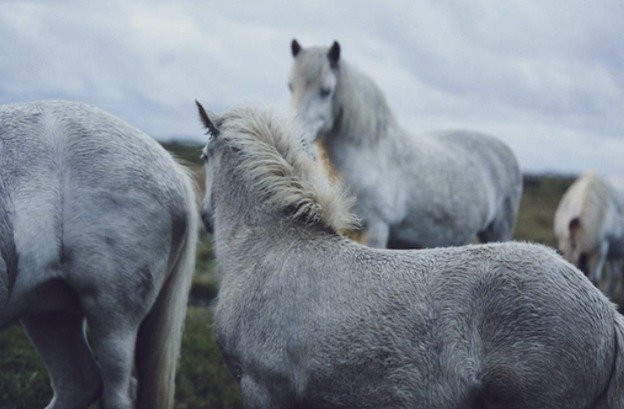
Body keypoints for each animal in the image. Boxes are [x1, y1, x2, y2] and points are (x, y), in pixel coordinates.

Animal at [288, 39, 520, 249]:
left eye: (326, 90)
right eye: (290, 86)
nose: (296, 139)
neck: (366, 160)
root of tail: (505, 150)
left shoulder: (376, 229)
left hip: (499, 231)